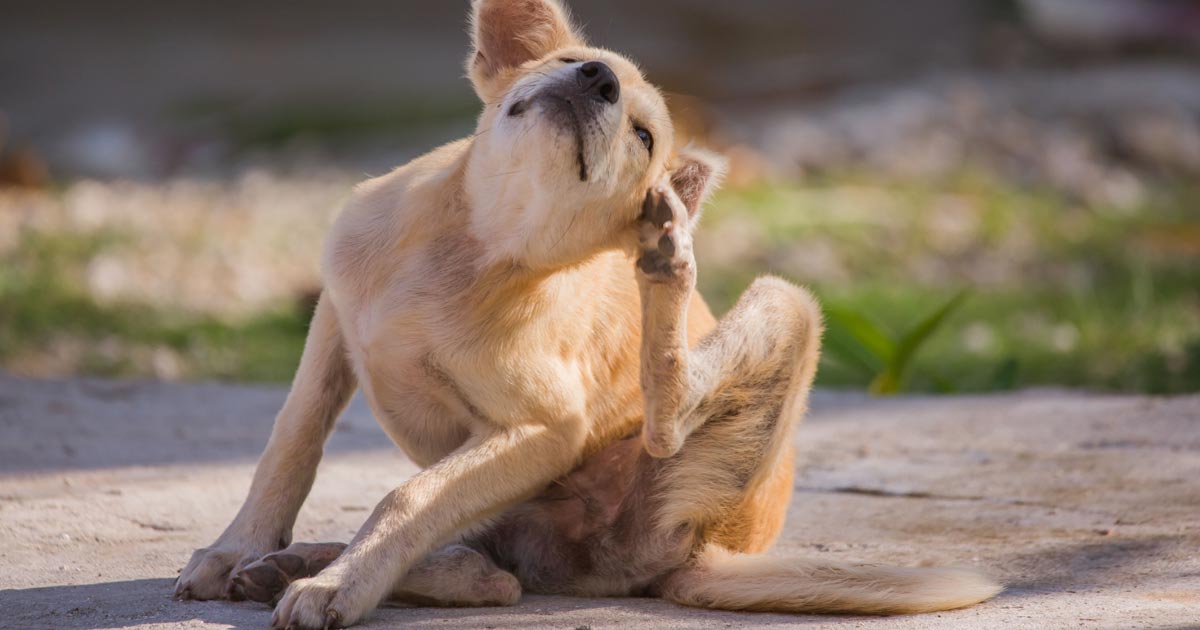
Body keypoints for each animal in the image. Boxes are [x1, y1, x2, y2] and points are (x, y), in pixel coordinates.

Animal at [171, 2, 1003, 624]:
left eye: (643, 134)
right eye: (570, 62)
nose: (595, 78)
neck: (474, 246)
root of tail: (702, 554)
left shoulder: (543, 429)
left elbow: (409, 496)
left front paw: (337, 587)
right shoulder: (334, 323)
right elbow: (292, 441)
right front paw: (237, 548)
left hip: (780, 311)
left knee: (590, 489)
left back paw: (668, 264)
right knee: (488, 566)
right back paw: (290, 562)